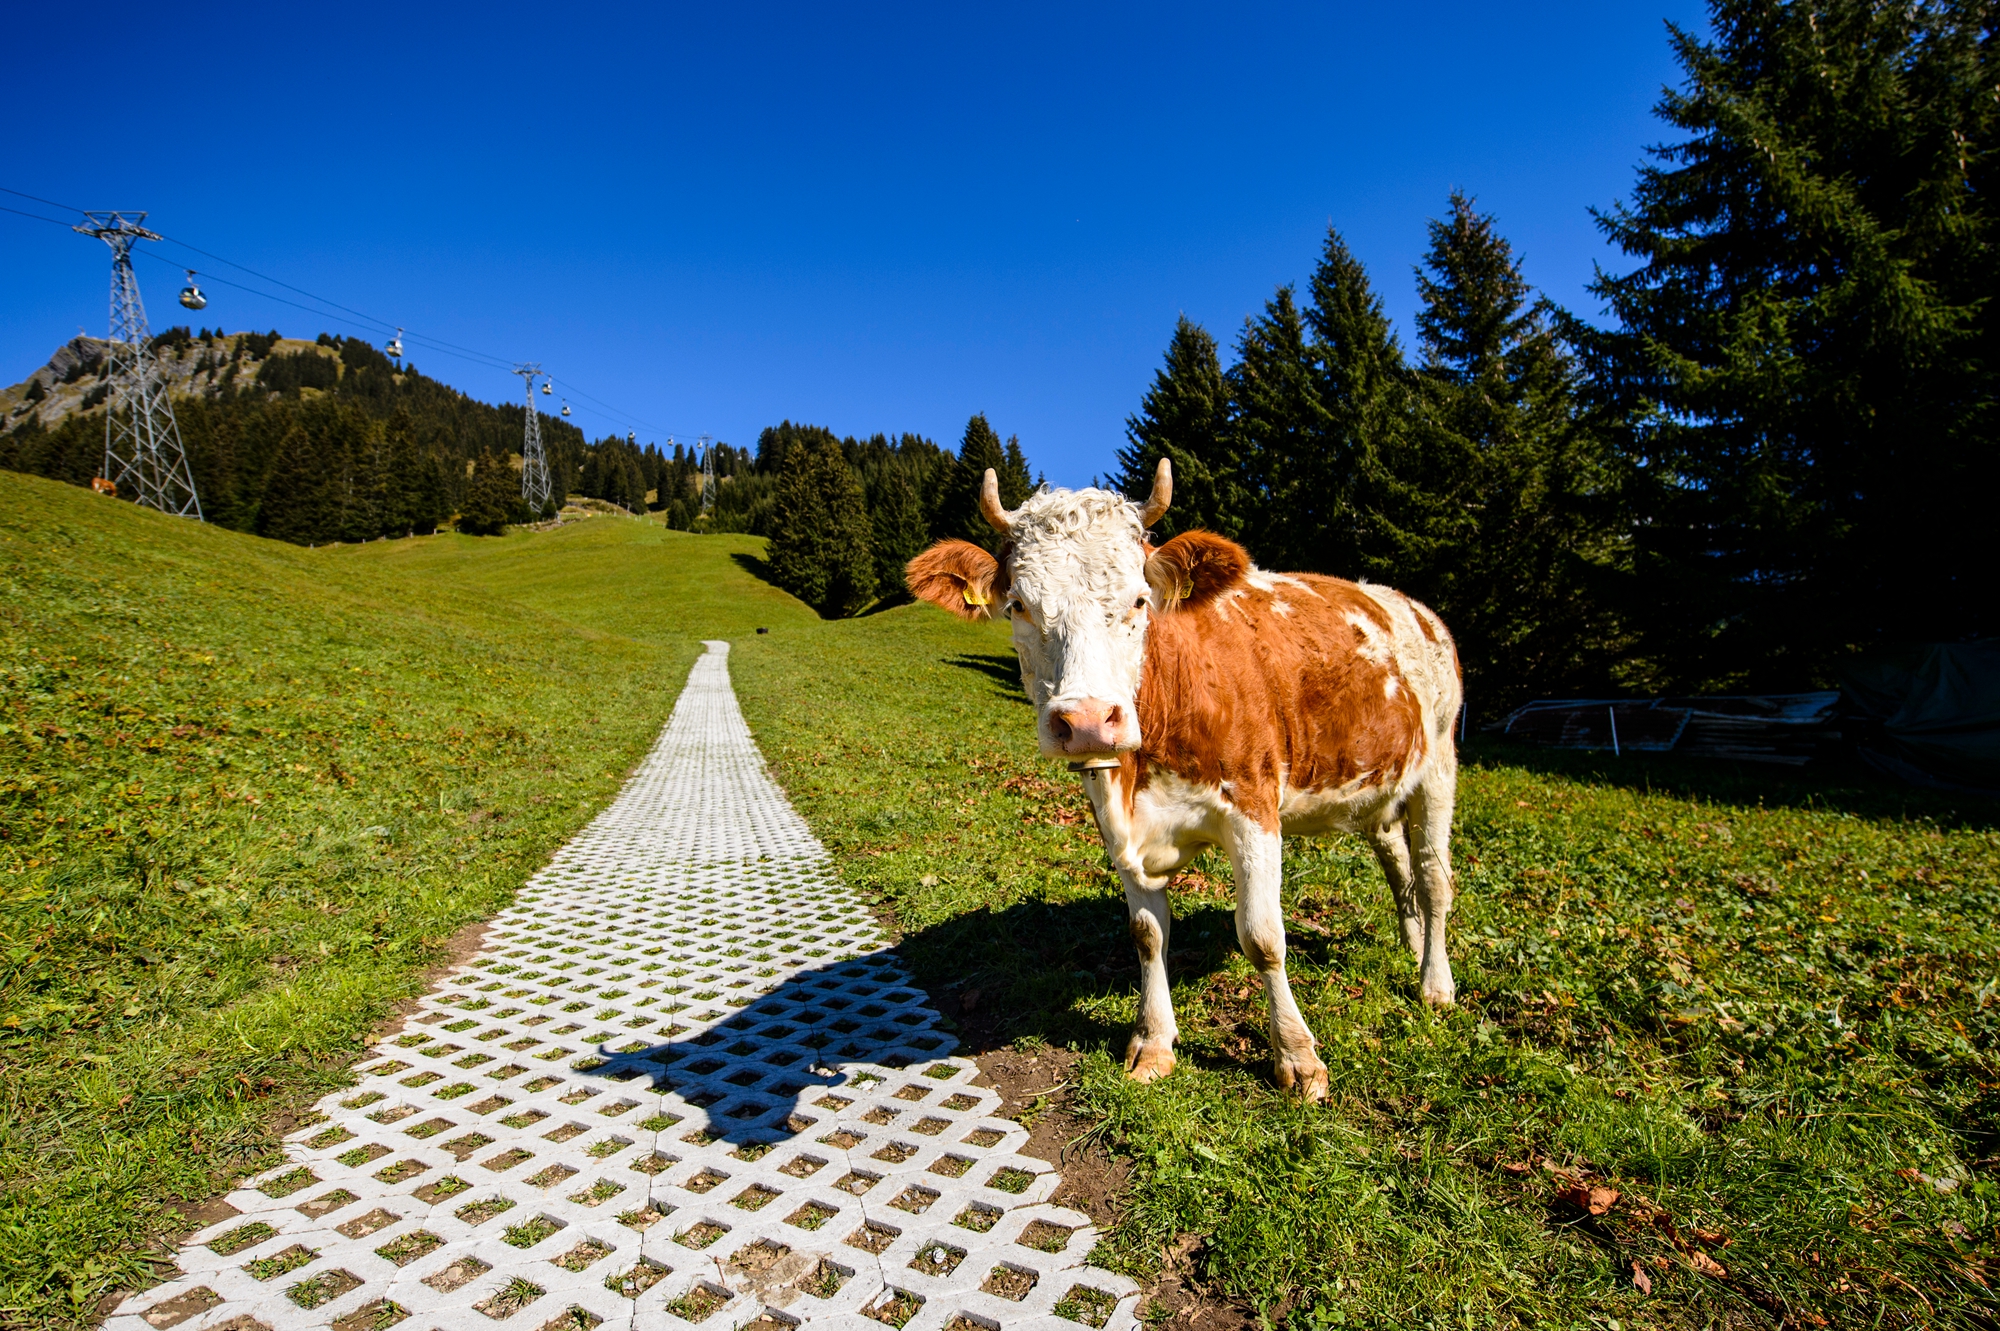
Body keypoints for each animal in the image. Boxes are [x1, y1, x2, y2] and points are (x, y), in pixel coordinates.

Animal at [905, 460, 1461, 1102]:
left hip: (1440, 764)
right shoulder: (1115, 822)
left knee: (1433, 879)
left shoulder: (1253, 808)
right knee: (1398, 865)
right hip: (1381, 788)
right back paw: (1413, 945)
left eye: (1140, 600)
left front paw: (1297, 1059)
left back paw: (1435, 982)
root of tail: (1410, 604)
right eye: (1018, 604)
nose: (1087, 721)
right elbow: (1147, 933)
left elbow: (1262, 937)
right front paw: (1153, 1042)